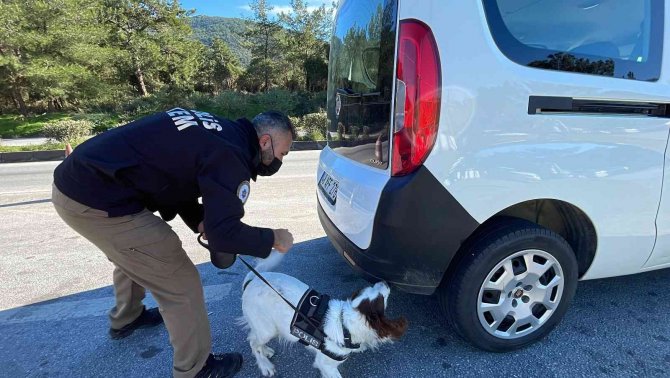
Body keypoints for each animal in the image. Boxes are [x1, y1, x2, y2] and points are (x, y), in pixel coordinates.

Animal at [242, 251, 410, 378]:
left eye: (372, 288)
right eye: (381, 298)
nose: (385, 281)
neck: (344, 326)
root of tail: (253, 279)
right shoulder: (326, 364)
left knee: (253, 336)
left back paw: (266, 351)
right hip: (267, 329)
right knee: (253, 342)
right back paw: (265, 365)